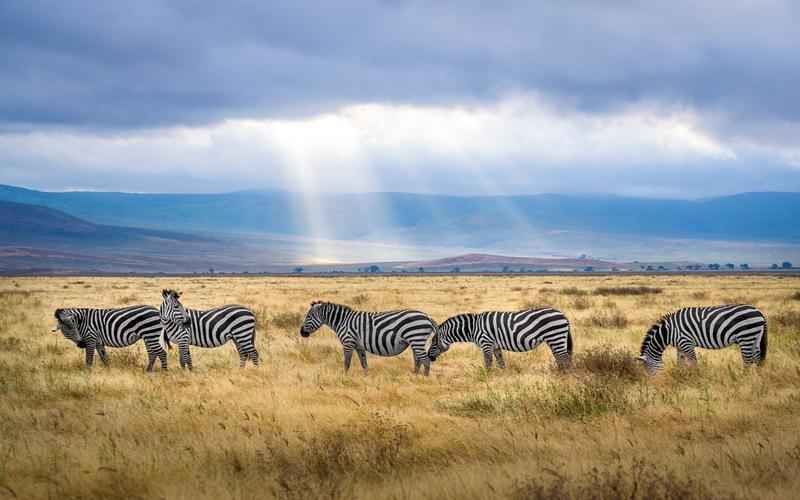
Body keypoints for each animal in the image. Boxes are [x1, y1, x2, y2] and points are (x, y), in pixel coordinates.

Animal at [300, 300, 438, 376]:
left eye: (308, 317)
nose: (302, 333)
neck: (343, 321)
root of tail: (427, 317)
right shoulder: (359, 346)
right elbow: (364, 363)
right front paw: (366, 378)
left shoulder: (348, 342)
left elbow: (347, 363)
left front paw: (344, 378)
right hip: (415, 341)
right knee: (418, 360)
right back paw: (414, 377)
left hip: (416, 338)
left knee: (426, 360)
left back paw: (424, 380)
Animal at [428, 306, 572, 370]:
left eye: (433, 343)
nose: (429, 357)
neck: (473, 328)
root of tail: (563, 315)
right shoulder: (495, 346)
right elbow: (501, 362)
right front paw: (502, 378)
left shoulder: (486, 343)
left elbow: (488, 362)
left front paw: (486, 378)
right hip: (556, 339)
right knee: (561, 357)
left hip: (555, 336)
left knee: (564, 358)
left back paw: (563, 377)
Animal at [636, 302, 768, 374]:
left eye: (648, 368)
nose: (653, 383)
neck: (668, 331)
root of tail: (759, 312)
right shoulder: (680, 346)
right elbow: (680, 363)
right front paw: (680, 376)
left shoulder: (686, 343)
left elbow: (694, 362)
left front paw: (696, 378)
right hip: (755, 337)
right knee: (757, 358)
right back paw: (758, 378)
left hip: (746, 336)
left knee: (748, 360)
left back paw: (743, 379)